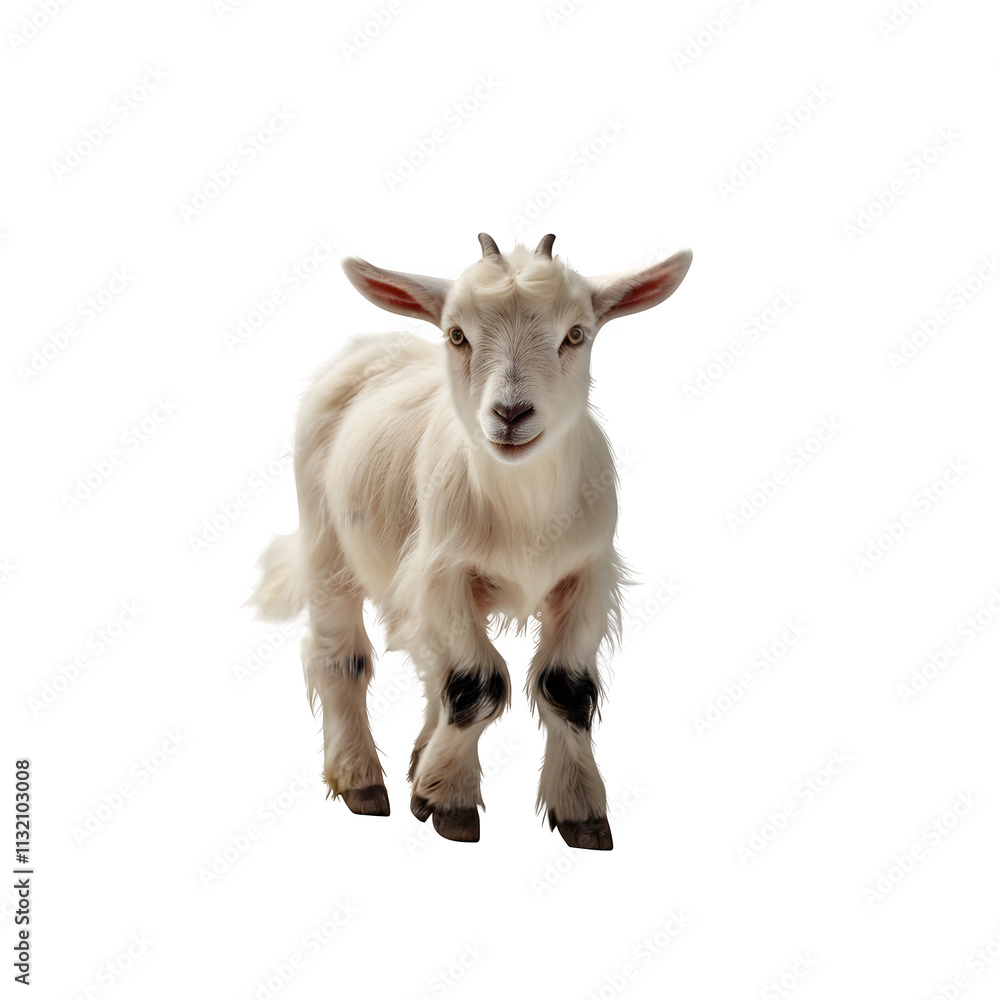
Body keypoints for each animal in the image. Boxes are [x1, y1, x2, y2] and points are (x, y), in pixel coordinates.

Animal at [250, 233, 692, 849]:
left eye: (576, 334)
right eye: (457, 334)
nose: (510, 413)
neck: (523, 509)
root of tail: (374, 346)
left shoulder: (586, 575)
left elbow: (565, 688)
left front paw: (581, 810)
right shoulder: (446, 573)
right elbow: (475, 683)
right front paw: (450, 802)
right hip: (325, 540)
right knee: (341, 657)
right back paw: (362, 779)